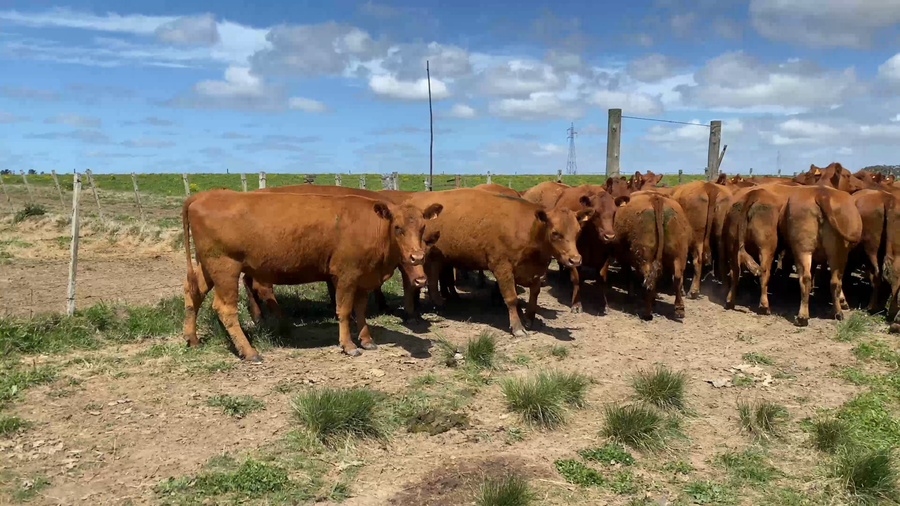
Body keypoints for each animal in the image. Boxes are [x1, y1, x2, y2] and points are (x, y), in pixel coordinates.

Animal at [181, 190, 441, 360]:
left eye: (422, 227)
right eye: (397, 227)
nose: (417, 257)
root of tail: (204, 195)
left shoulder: (363, 278)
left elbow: (360, 309)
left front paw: (367, 340)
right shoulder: (346, 275)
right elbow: (344, 311)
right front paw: (349, 345)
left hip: (208, 267)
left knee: (193, 294)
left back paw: (192, 339)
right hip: (225, 267)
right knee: (225, 309)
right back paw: (249, 351)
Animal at [404, 189, 592, 336]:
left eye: (577, 231)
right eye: (555, 233)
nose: (575, 259)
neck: (528, 229)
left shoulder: (534, 271)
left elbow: (535, 294)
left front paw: (529, 318)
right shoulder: (503, 268)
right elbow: (511, 298)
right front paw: (517, 327)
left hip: (438, 258)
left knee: (435, 278)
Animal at [613, 191, 690, 320]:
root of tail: (656, 198)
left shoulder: (623, 257)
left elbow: (629, 274)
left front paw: (630, 296)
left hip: (644, 256)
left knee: (648, 279)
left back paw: (647, 312)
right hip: (679, 254)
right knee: (677, 278)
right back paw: (679, 309)